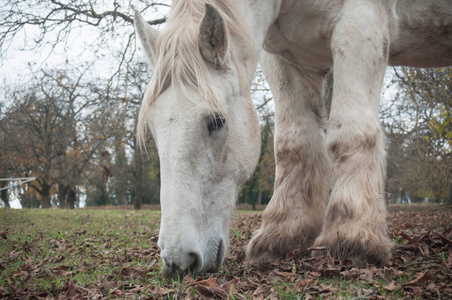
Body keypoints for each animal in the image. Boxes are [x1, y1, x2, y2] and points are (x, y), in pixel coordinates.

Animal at [135, 0, 452, 278]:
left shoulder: (361, 27)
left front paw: (352, 238)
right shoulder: (287, 57)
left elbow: (350, 131)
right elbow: (294, 143)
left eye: (216, 122)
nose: (178, 260)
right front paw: (282, 236)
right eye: (152, 128)